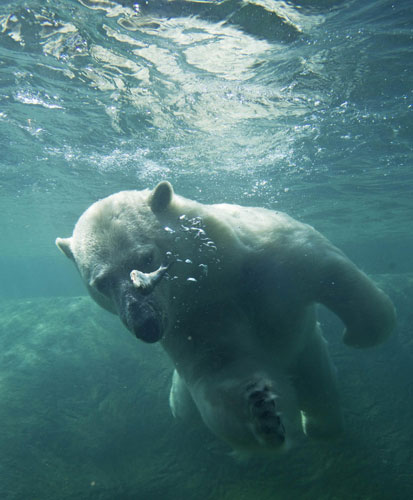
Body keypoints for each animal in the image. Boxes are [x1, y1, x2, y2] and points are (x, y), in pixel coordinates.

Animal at [56, 183, 394, 454]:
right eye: (101, 283)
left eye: (147, 258)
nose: (146, 326)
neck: (216, 272)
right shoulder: (196, 320)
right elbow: (221, 369)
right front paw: (262, 412)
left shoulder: (269, 256)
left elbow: (329, 270)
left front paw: (363, 333)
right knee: (184, 407)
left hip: (307, 350)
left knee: (319, 389)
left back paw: (320, 427)